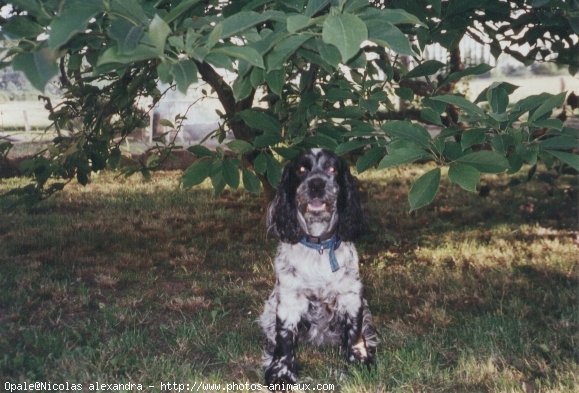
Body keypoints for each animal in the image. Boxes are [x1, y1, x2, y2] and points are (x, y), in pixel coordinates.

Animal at [260, 147, 378, 382]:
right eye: (301, 169)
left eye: (332, 169)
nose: (316, 184)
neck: (319, 247)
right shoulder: (289, 299)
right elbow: (284, 338)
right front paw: (281, 372)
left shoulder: (351, 296)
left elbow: (354, 331)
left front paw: (359, 360)